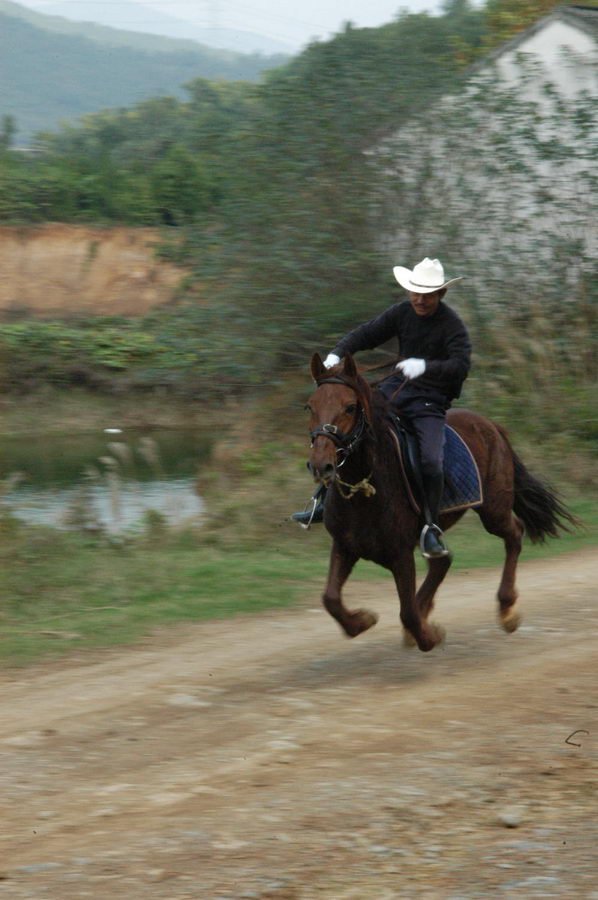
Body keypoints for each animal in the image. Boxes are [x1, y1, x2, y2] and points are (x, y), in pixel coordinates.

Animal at [308, 348, 580, 652]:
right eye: (310, 407)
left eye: (350, 407)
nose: (321, 466)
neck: (365, 487)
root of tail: (492, 425)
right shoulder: (345, 546)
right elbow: (330, 598)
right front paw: (362, 621)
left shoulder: (400, 554)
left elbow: (407, 612)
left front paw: (429, 635)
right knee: (443, 562)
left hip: (493, 511)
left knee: (513, 534)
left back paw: (506, 609)